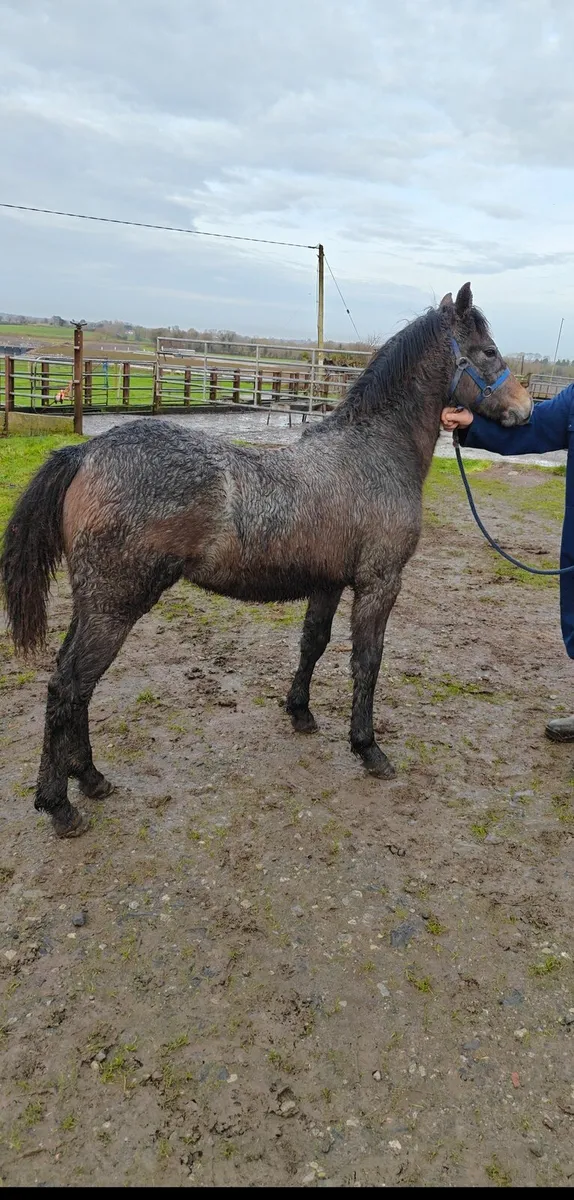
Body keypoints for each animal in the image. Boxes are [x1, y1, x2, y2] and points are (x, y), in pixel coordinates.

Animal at [1, 284, 532, 840]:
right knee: (69, 687)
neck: (374, 453)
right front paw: (367, 748)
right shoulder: (379, 583)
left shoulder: (328, 582)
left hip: (93, 605)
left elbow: (313, 644)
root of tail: (87, 453)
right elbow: (367, 662)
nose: (525, 408)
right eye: (488, 351)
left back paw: (90, 778)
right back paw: (59, 804)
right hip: (114, 607)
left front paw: (300, 713)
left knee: (72, 684)